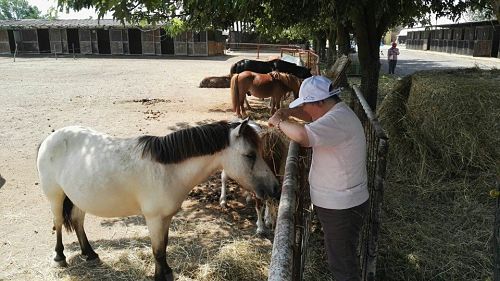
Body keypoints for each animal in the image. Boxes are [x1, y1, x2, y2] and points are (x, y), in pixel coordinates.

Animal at [36, 119, 280, 280]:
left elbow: (164, 247)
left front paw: (167, 273)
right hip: (56, 196)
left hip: (78, 198)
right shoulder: (153, 219)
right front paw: (161, 276)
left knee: (77, 222)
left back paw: (90, 254)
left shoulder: (166, 218)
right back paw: (60, 257)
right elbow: (158, 251)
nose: (275, 188)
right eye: (250, 155)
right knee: (59, 223)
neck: (167, 170)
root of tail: (49, 139)